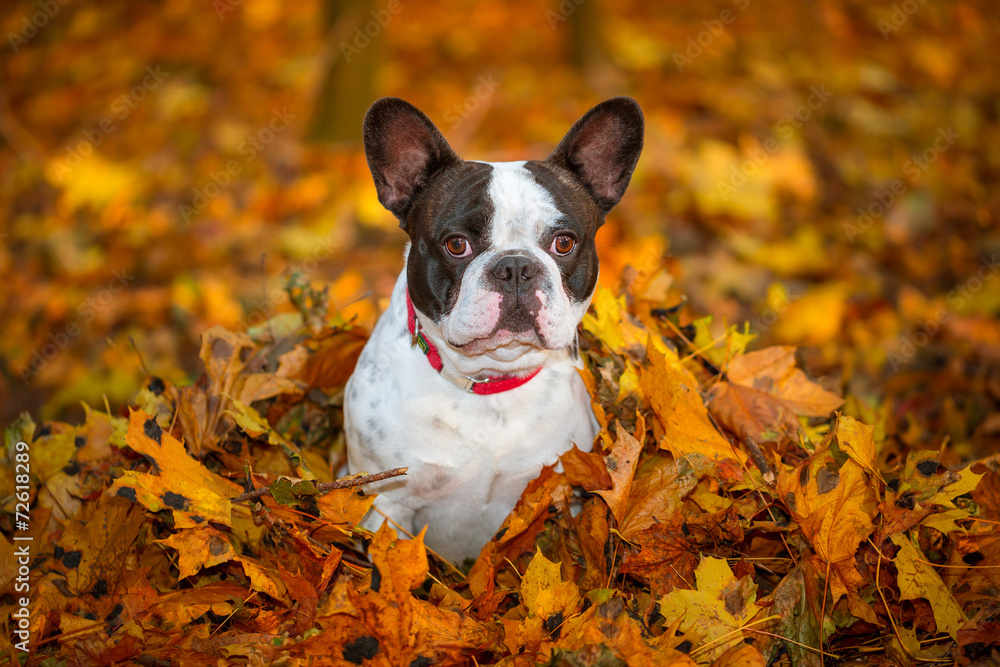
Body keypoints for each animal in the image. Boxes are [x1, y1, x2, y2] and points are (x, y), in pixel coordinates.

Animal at [344, 95, 640, 564]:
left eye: (564, 243)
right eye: (456, 245)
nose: (516, 266)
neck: (489, 383)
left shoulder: (565, 494)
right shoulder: (384, 505)